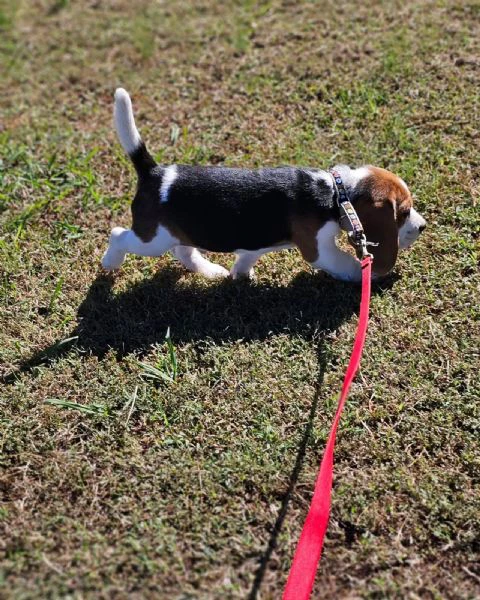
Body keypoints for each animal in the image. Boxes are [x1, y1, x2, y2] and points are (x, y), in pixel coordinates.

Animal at [103, 90, 426, 282]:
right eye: (402, 213)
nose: (422, 226)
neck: (336, 193)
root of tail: (155, 173)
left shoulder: (256, 243)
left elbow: (247, 255)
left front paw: (239, 274)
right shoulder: (318, 248)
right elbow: (343, 263)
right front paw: (365, 275)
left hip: (179, 232)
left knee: (184, 252)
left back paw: (211, 271)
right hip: (152, 240)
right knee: (119, 234)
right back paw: (110, 261)